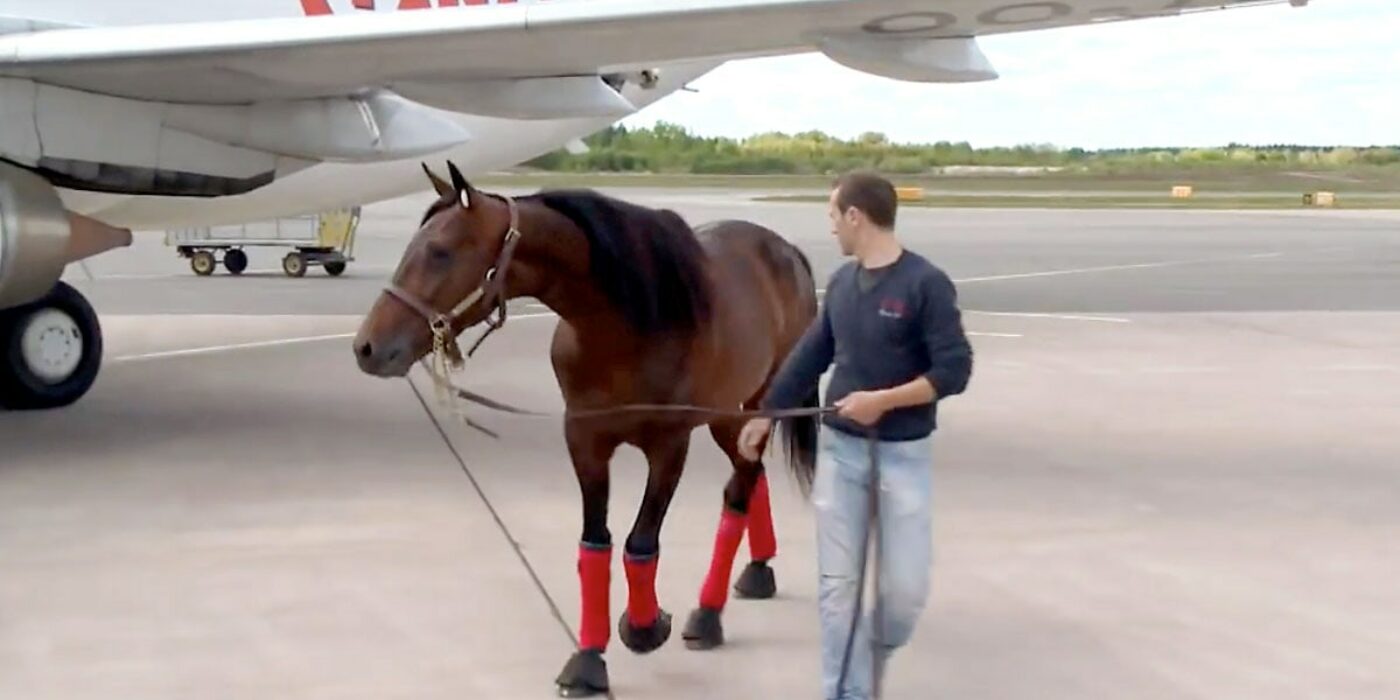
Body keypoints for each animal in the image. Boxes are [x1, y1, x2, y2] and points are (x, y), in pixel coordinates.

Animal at [352, 161, 820, 697]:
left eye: (440, 252)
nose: (368, 347)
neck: (626, 324)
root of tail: (787, 252)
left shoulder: (669, 445)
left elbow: (640, 542)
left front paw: (644, 627)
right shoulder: (585, 441)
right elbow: (595, 543)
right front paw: (588, 660)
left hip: (753, 406)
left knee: (739, 489)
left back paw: (709, 613)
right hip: (727, 415)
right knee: (748, 477)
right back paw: (757, 570)